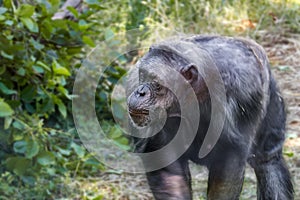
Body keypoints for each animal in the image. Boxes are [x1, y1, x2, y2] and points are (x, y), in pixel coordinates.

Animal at [126, 35, 292, 199]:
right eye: (143, 75)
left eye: (157, 84)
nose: (140, 92)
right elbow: (169, 171)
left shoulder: (243, 93)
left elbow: (228, 168)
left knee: (268, 160)